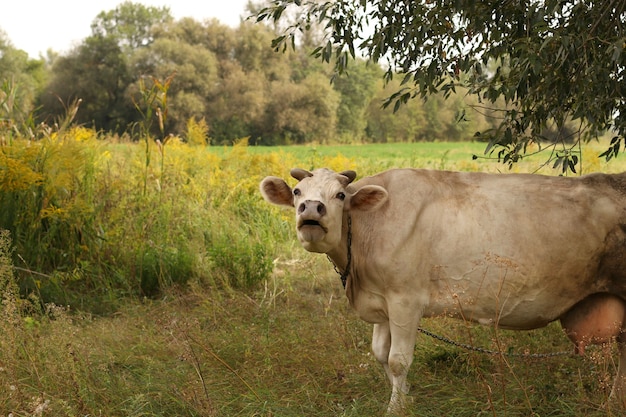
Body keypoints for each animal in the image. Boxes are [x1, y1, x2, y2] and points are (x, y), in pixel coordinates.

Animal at [260, 167, 626, 412]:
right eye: (297, 192)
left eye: (339, 195)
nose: (311, 209)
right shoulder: (383, 300)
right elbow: (380, 352)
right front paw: (406, 396)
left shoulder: (406, 299)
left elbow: (398, 359)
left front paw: (396, 407)